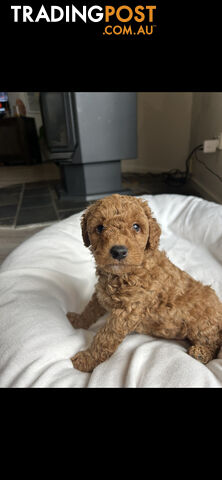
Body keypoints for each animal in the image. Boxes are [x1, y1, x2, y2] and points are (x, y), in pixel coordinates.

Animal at [67, 194, 222, 372]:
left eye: (136, 227)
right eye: (99, 228)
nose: (118, 251)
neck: (121, 275)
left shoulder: (126, 312)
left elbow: (104, 338)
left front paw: (86, 360)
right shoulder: (101, 293)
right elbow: (90, 309)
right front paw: (77, 320)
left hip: (202, 325)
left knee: (214, 342)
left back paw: (201, 353)